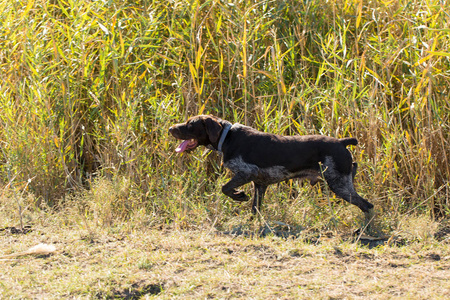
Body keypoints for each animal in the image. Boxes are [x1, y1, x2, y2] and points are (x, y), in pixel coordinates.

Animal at [169, 115, 372, 218]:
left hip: (339, 184)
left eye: (190, 124)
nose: (170, 128)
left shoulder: (247, 173)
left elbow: (225, 188)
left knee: (367, 206)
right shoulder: (260, 184)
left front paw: (239, 196)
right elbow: (255, 209)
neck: (227, 137)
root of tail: (341, 142)